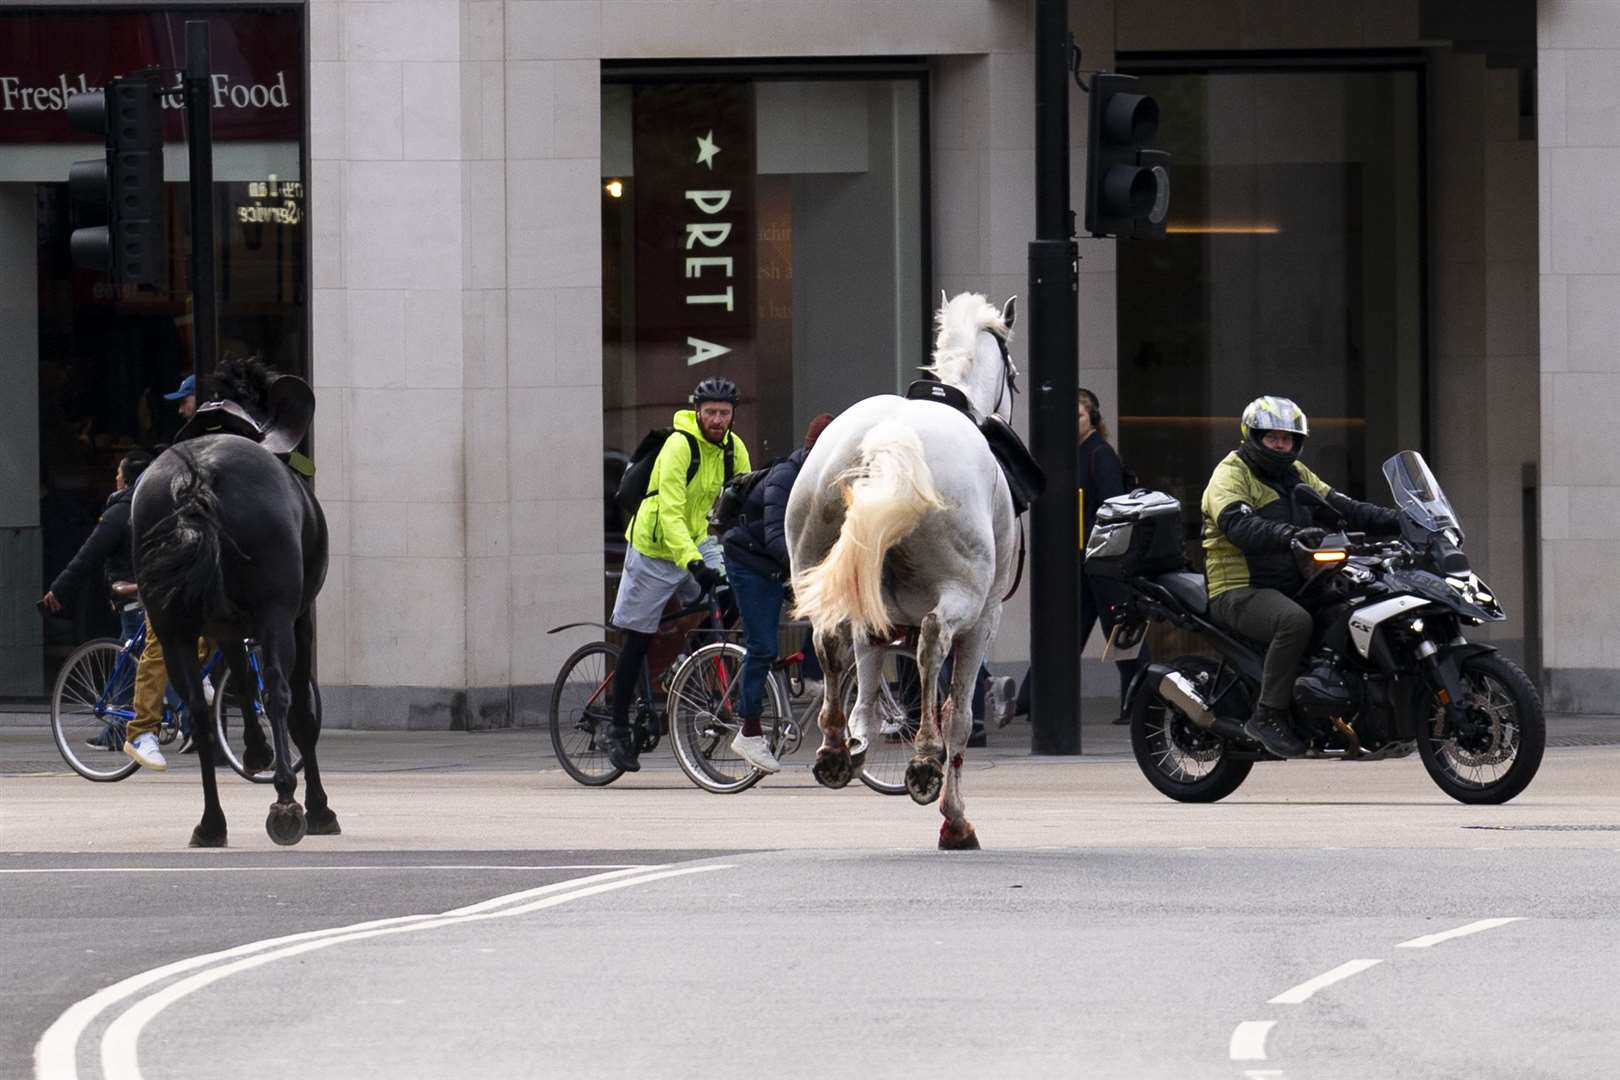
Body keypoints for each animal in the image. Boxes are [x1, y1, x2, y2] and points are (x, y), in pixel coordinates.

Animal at [132, 359, 335, 848]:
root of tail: (195, 480)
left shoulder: (223, 625)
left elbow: (240, 681)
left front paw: (256, 750)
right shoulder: (298, 618)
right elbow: (298, 712)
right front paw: (319, 806)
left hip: (171, 624)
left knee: (199, 711)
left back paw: (211, 822)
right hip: (276, 613)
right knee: (279, 692)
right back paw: (286, 803)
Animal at [780, 293, 1010, 854]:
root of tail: (887, 440)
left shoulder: (871, 609)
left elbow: (865, 682)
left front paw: (857, 738)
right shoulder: (985, 620)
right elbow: (958, 716)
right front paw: (956, 820)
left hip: (822, 569)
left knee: (829, 641)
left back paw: (834, 748)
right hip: (961, 597)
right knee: (931, 644)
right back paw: (924, 763)